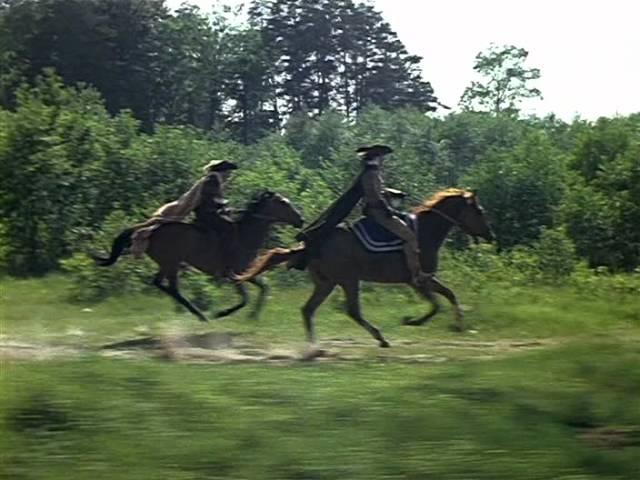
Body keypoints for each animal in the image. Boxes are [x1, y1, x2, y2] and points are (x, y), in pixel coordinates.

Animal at [95, 191, 304, 322]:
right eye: (283, 202)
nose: (300, 220)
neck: (244, 235)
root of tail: (149, 230)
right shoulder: (233, 275)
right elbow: (245, 298)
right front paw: (221, 313)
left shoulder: (246, 273)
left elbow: (264, 288)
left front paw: (253, 316)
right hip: (171, 263)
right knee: (172, 288)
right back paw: (201, 315)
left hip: (168, 264)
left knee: (161, 284)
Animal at [238, 188, 492, 348]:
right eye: (479, 211)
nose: (490, 235)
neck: (424, 233)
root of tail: (310, 245)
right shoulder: (418, 279)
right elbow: (438, 304)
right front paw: (412, 321)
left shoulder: (422, 279)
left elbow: (449, 295)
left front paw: (457, 325)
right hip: (348, 280)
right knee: (352, 311)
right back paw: (380, 338)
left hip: (327, 282)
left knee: (308, 310)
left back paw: (313, 346)